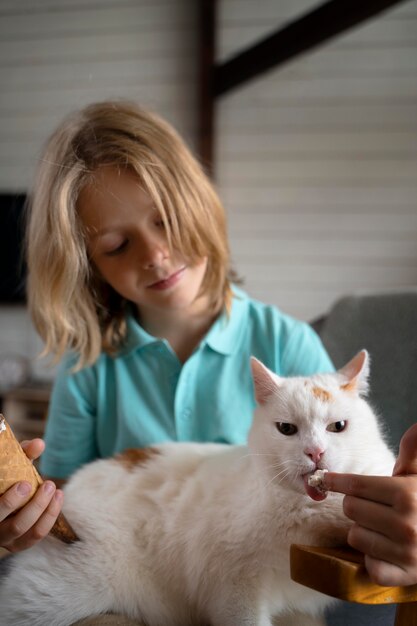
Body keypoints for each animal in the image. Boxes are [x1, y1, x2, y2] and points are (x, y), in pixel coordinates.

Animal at [0, 352, 394, 624]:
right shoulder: (234, 589)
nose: (315, 452)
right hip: (56, 594)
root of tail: (68, 487)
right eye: (286, 429)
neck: (304, 511)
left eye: (338, 427)